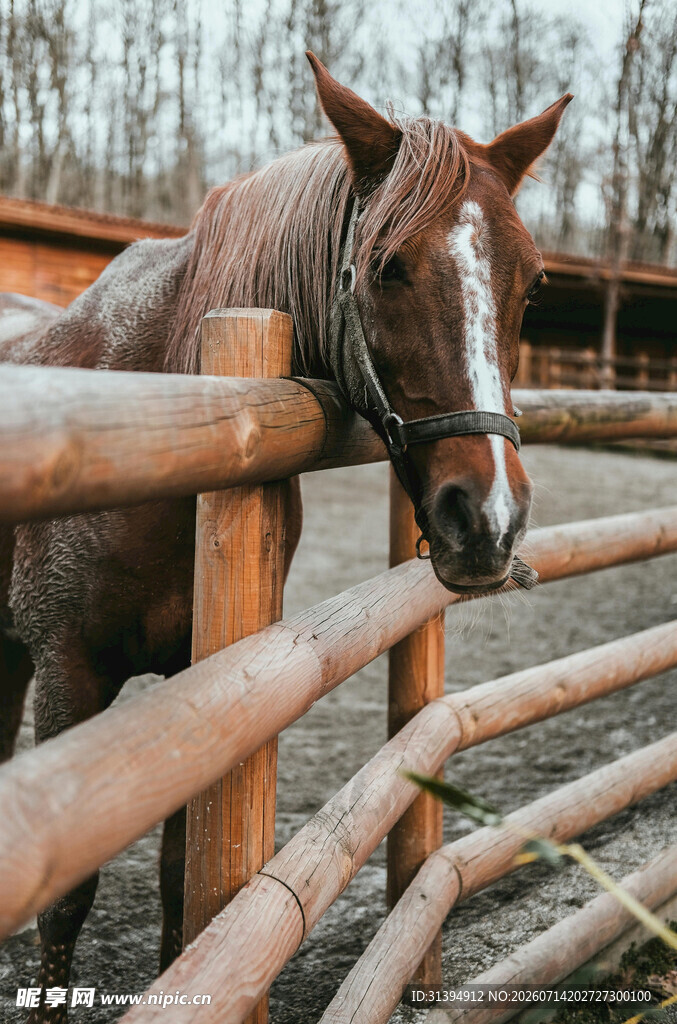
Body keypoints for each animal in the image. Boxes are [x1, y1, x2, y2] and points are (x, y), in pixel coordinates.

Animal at [0, 53, 571, 1022]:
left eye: (531, 282)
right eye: (385, 267)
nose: (488, 520)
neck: (161, 408)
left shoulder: (197, 684)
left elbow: (180, 879)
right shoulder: (68, 670)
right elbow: (65, 897)